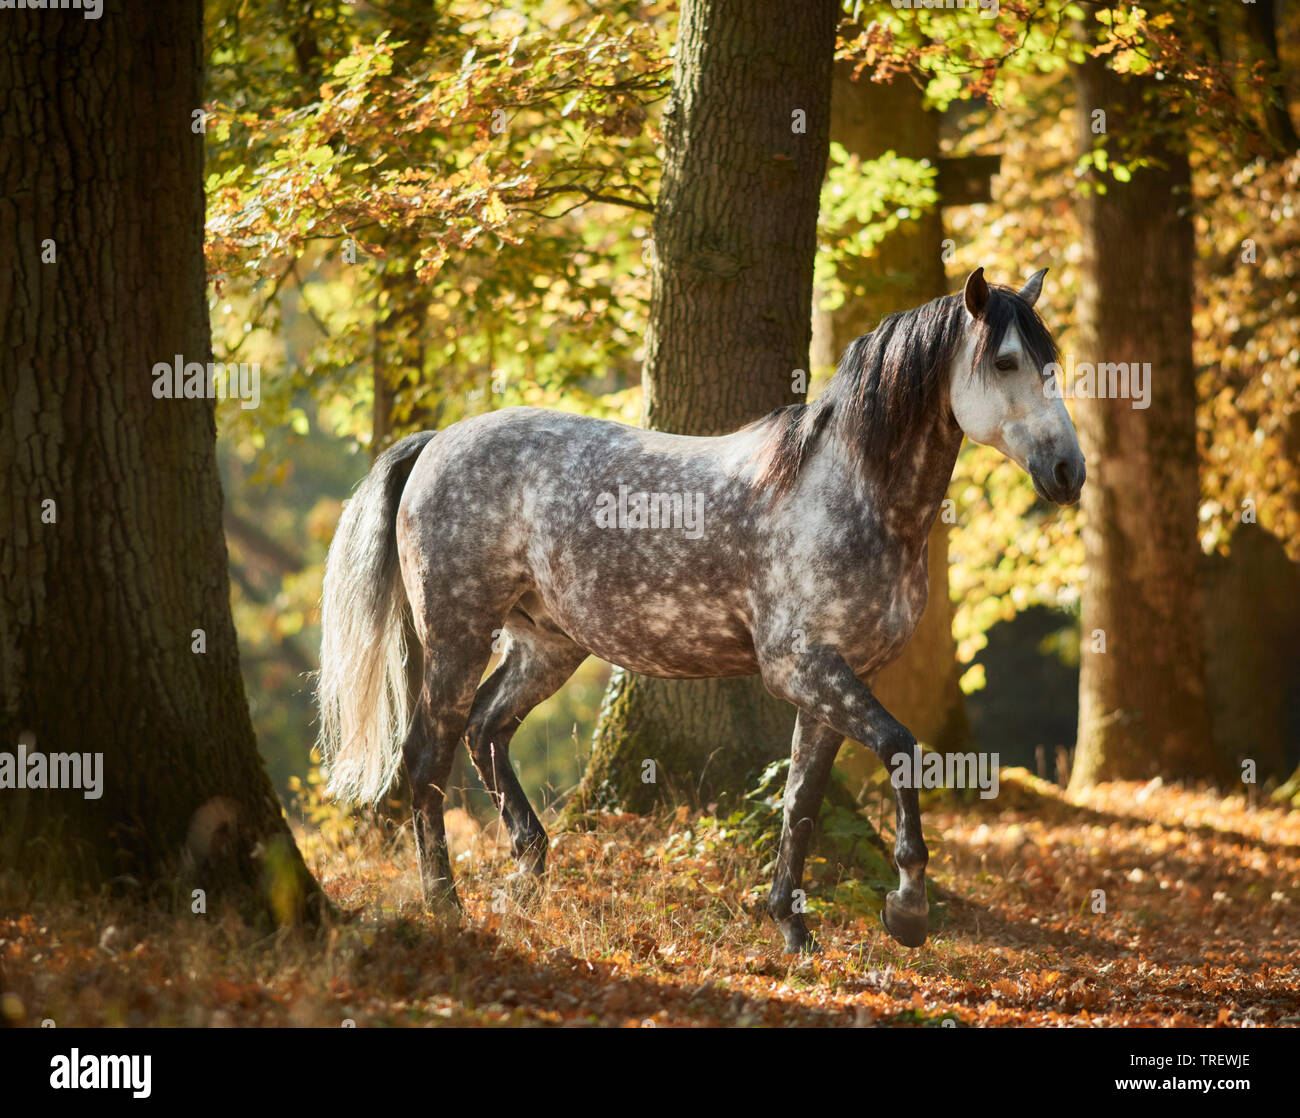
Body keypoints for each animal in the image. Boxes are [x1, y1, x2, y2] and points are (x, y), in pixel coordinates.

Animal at [317, 263, 1086, 951]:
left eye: (1053, 362)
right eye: (1007, 361)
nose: (1069, 473)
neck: (849, 495)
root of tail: (435, 443)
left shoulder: (835, 680)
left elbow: (801, 802)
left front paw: (793, 929)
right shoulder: (802, 669)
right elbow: (901, 749)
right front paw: (907, 911)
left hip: (547, 645)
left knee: (485, 731)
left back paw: (528, 870)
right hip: (458, 635)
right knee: (427, 758)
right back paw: (446, 905)